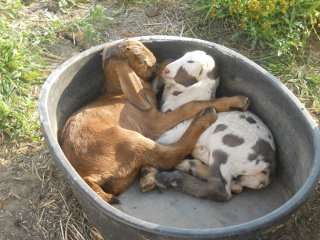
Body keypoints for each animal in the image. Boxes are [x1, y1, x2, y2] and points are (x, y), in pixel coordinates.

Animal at [151, 51, 276, 202]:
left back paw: (171, 178)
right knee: (233, 184)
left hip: (223, 148)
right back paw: (190, 166)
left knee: (219, 189)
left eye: (190, 63)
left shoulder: (175, 131)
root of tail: (268, 167)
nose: (166, 69)